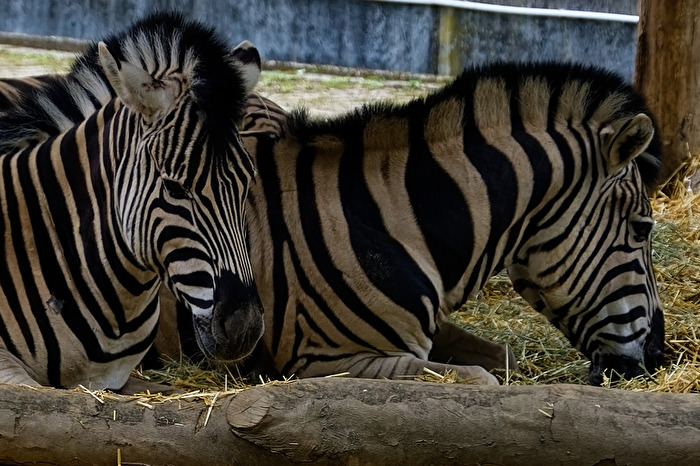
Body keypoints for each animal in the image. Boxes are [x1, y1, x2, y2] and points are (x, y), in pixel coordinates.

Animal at [234, 63, 665, 386]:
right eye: (642, 229)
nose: (660, 356)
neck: (394, 223)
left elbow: (504, 357)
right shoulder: (327, 361)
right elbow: (482, 378)